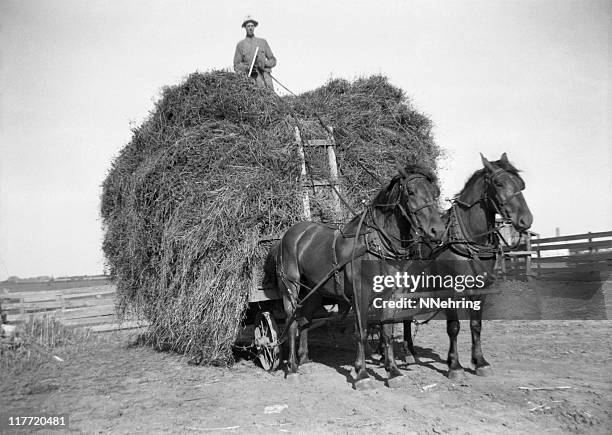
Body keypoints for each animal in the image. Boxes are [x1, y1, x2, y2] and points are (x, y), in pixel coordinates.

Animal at [276, 164, 444, 388]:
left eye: (435, 193)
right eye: (410, 192)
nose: (438, 231)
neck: (376, 244)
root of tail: (292, 233)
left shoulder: (391, 294)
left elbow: (387, 332)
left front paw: (393, 371)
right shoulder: (360, 294)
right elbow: (362, 332)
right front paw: (362, 374)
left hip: (313, 291)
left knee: (304, 321)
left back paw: (304, 359)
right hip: (291, 288)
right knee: (292, 322)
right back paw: (293, 367)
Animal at [400, 154, 532, 382]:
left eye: (521, 184)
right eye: (498, 183)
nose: (526, 219)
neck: (468, 238)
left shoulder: (481, 289)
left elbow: (476, 325)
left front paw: (480, 362)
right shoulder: (449, 290)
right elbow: (453, 326)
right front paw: (454, 366)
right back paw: (406, 352)